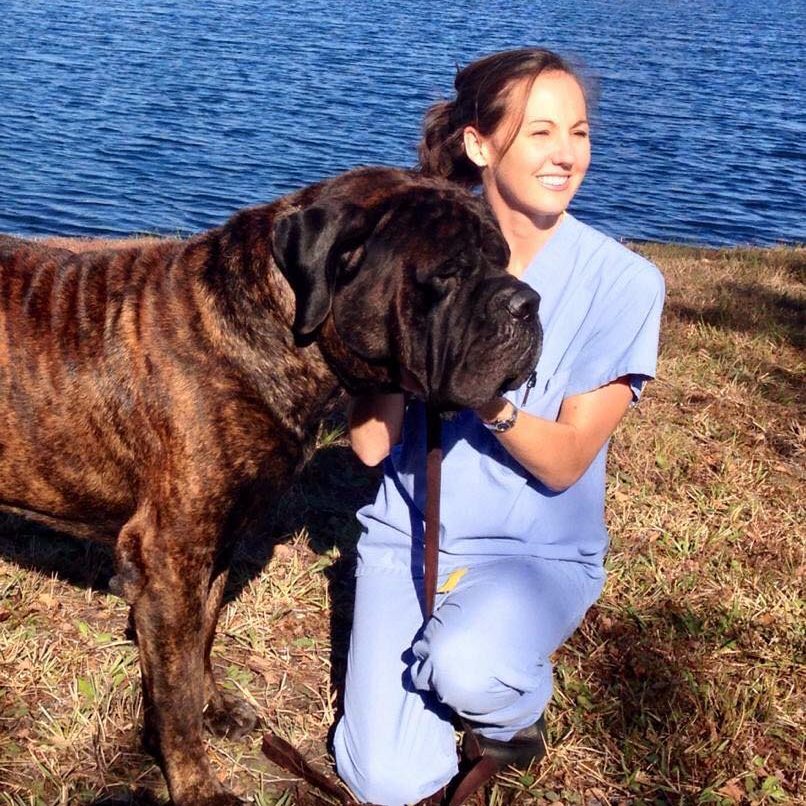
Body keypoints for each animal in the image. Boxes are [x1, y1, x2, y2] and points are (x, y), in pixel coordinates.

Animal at [1, 167, 544, 804]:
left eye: (504, 259)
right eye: (448, 273)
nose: (527, 302)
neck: (268, 332)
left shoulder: (216, 545)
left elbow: (200, 642)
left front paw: (214, 709)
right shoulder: (171, 556)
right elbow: (175, 688)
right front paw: (197, 784)